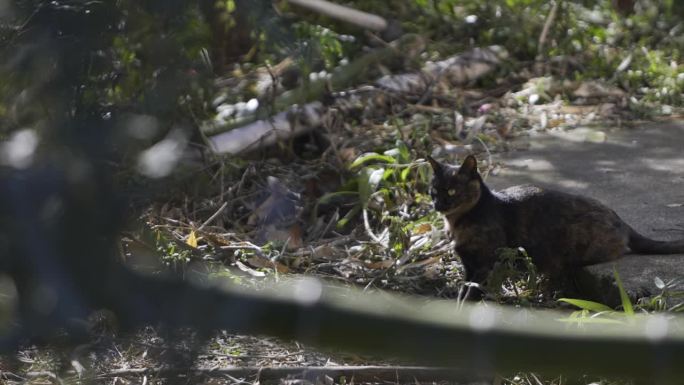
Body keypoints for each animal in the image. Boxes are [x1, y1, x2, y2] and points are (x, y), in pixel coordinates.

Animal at [428, 154, 684, 296]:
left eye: (452, 191)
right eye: (434, 190)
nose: (438, 204)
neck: (457, 223)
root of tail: (621, 220)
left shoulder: (483, 265)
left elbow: (470, 293)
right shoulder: (469, 266)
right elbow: (463, 291)